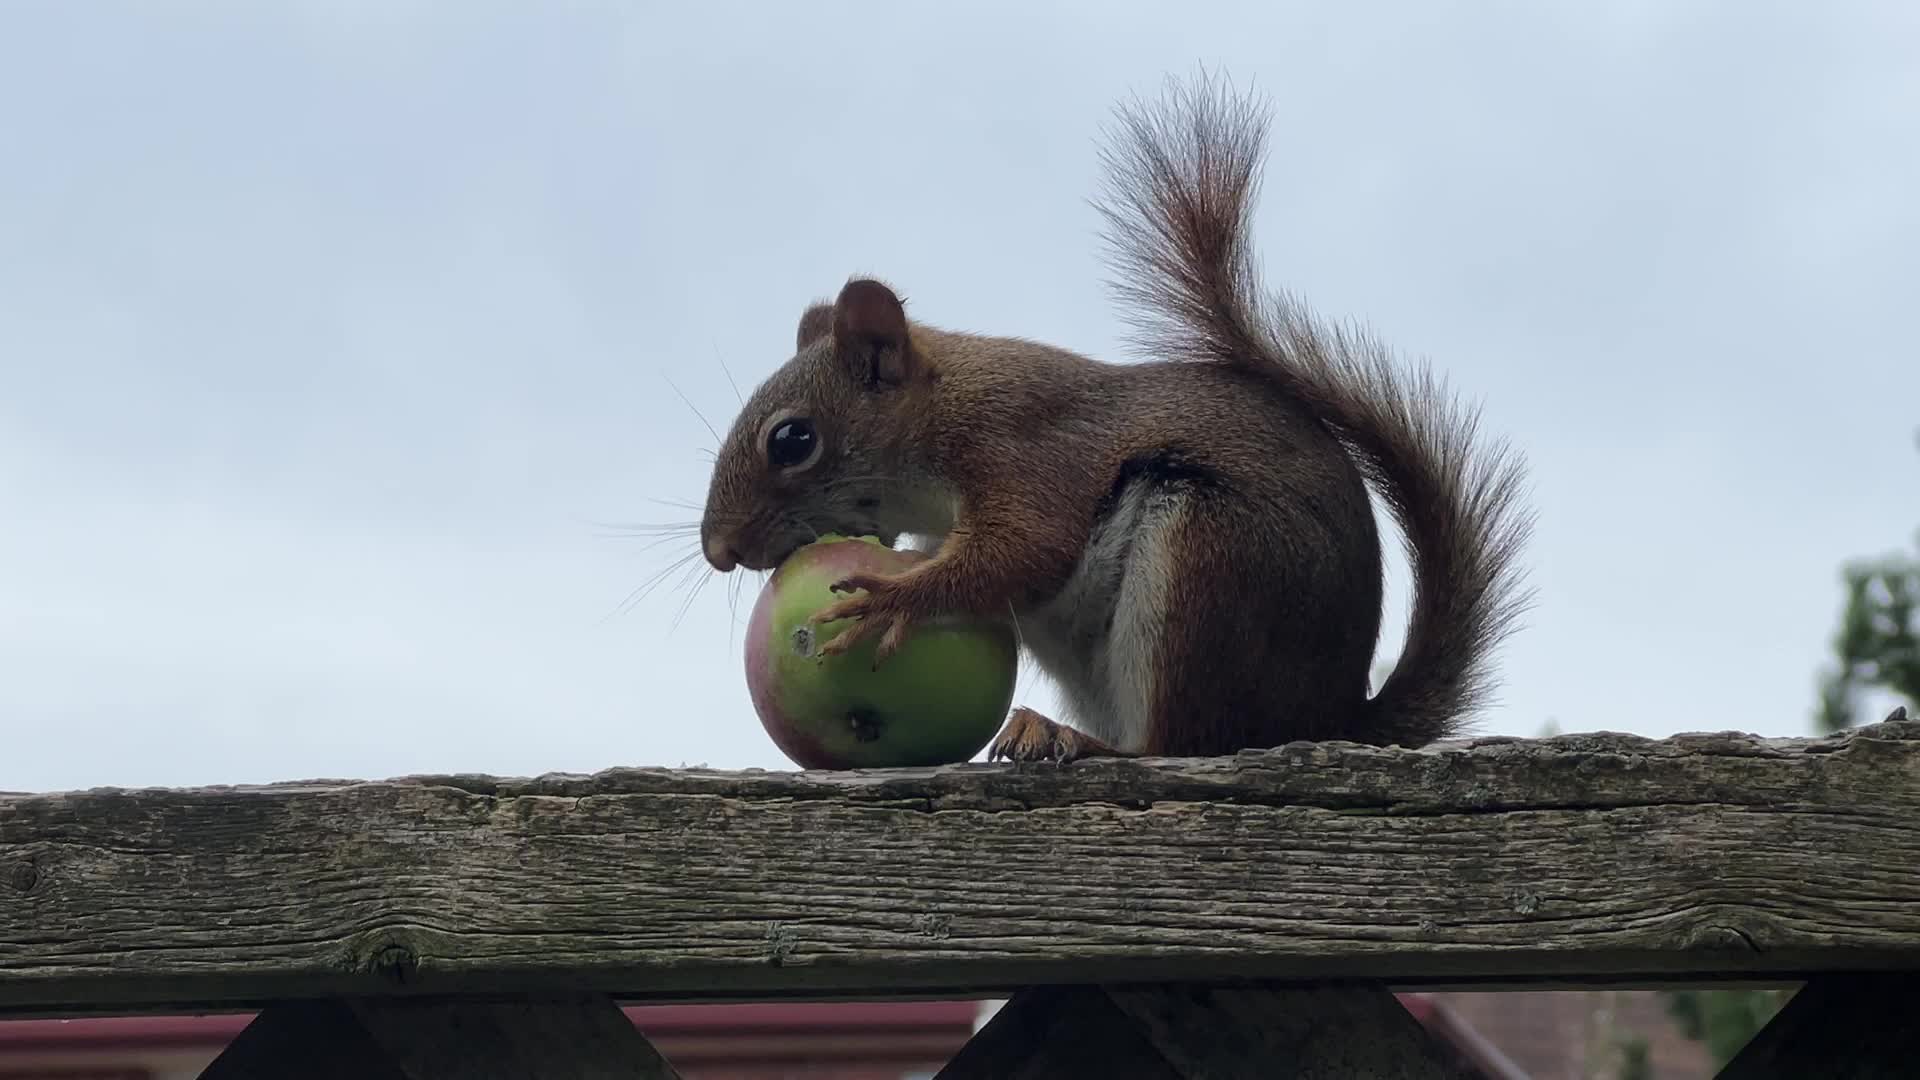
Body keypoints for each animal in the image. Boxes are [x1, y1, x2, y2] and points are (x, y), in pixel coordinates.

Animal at [697, 73, 1533, 763]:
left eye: (793, 440)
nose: (718, 551)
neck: (946, 406)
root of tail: (1326, 716)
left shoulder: (1027, 450)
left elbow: (1025, 548)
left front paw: (896, 596)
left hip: (1204, 568)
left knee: (1179, 743)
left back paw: (1080, 741)